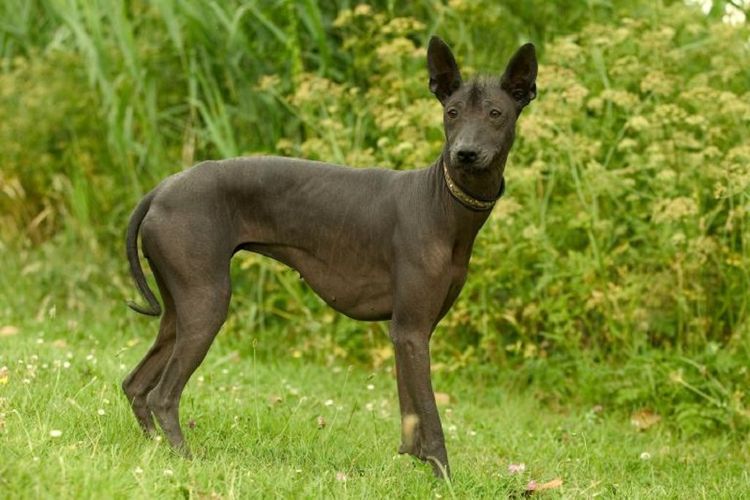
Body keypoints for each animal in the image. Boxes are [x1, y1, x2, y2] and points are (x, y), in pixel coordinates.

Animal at [123, 36, 536, 476]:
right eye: (451, 112)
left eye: (495, 114)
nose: (465, 153)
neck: (441, 204)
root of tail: (162, 188)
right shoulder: (410, 330)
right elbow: (430, 415)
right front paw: (443, 477)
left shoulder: (409, 332)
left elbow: (410, 413)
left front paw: (412, 463)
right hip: (206, 305)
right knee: (163, 395)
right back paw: (184, 459)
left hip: (179, 310)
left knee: (135, 385)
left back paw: (155, 450)